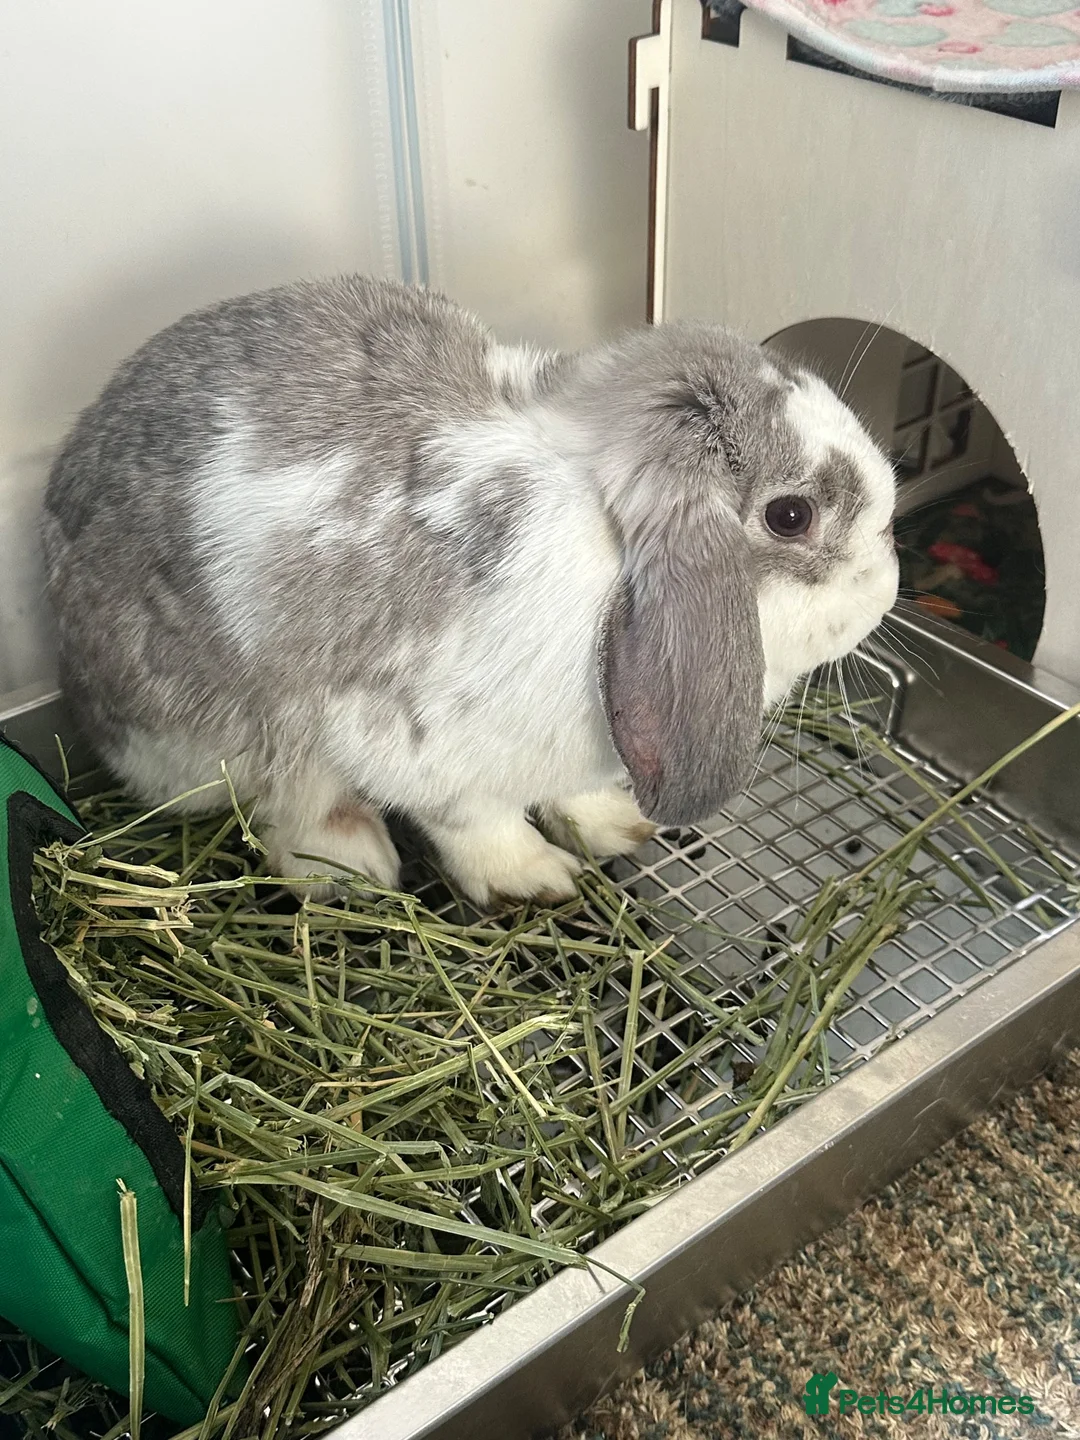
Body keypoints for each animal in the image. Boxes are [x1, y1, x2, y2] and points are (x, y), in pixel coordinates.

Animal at [41, 275, 899, 907]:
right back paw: (353, 861)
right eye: (791, 515)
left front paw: (619, 826)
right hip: (231, 733)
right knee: (284, 810)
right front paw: (535, 879)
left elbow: (575, 796)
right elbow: (475, 823)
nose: (890, 585)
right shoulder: (425, 748)